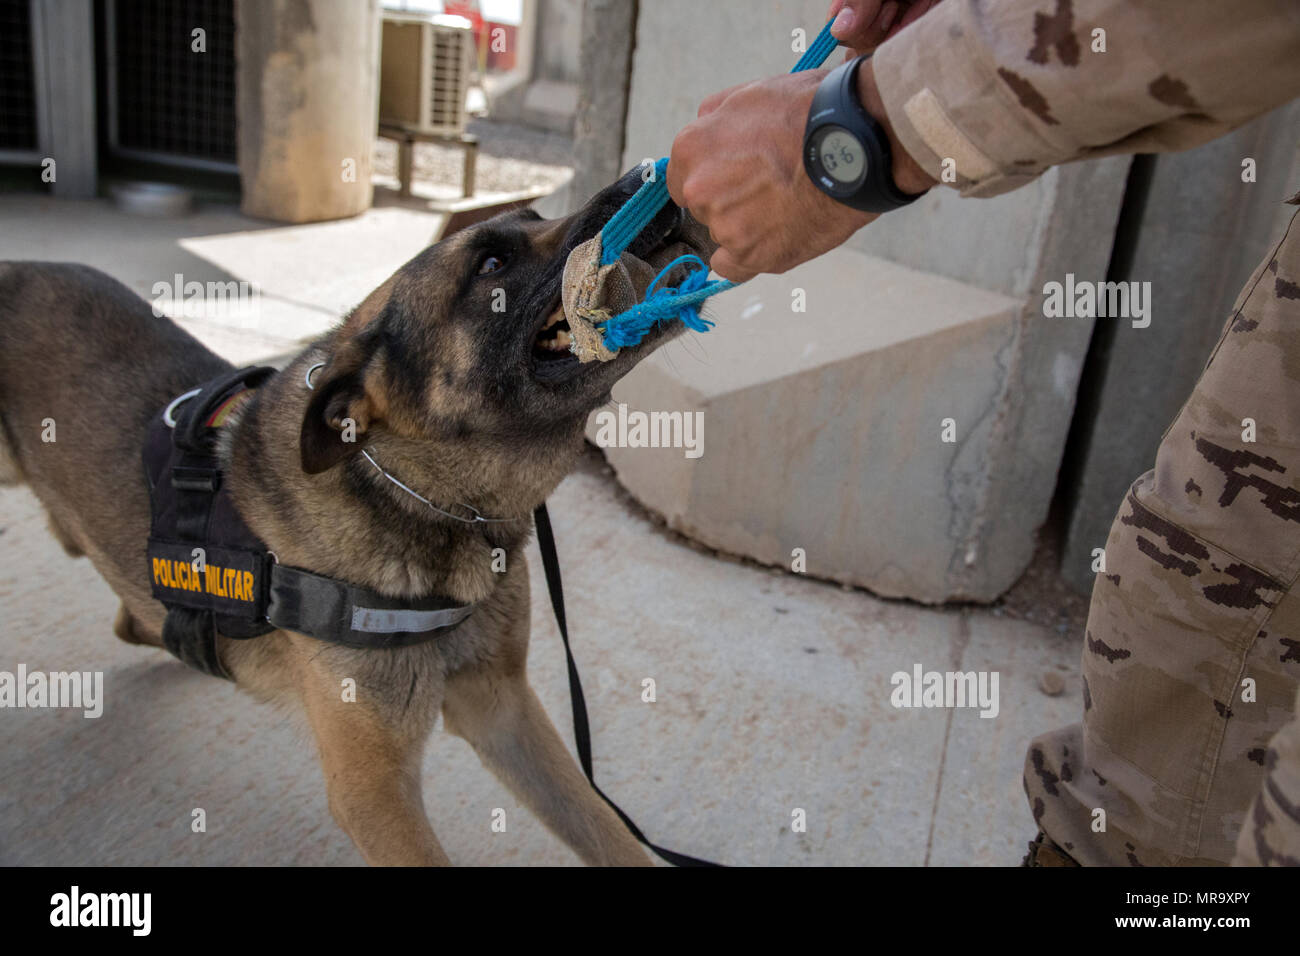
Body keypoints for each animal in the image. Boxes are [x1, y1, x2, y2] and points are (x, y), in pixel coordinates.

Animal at [0, 170, 712, 868]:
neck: (426, 501)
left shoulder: (503, 707)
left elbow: (607, 831)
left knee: (131, 617)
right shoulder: (374, 792)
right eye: (490, 263)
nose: (654, 172)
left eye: (537, 218)